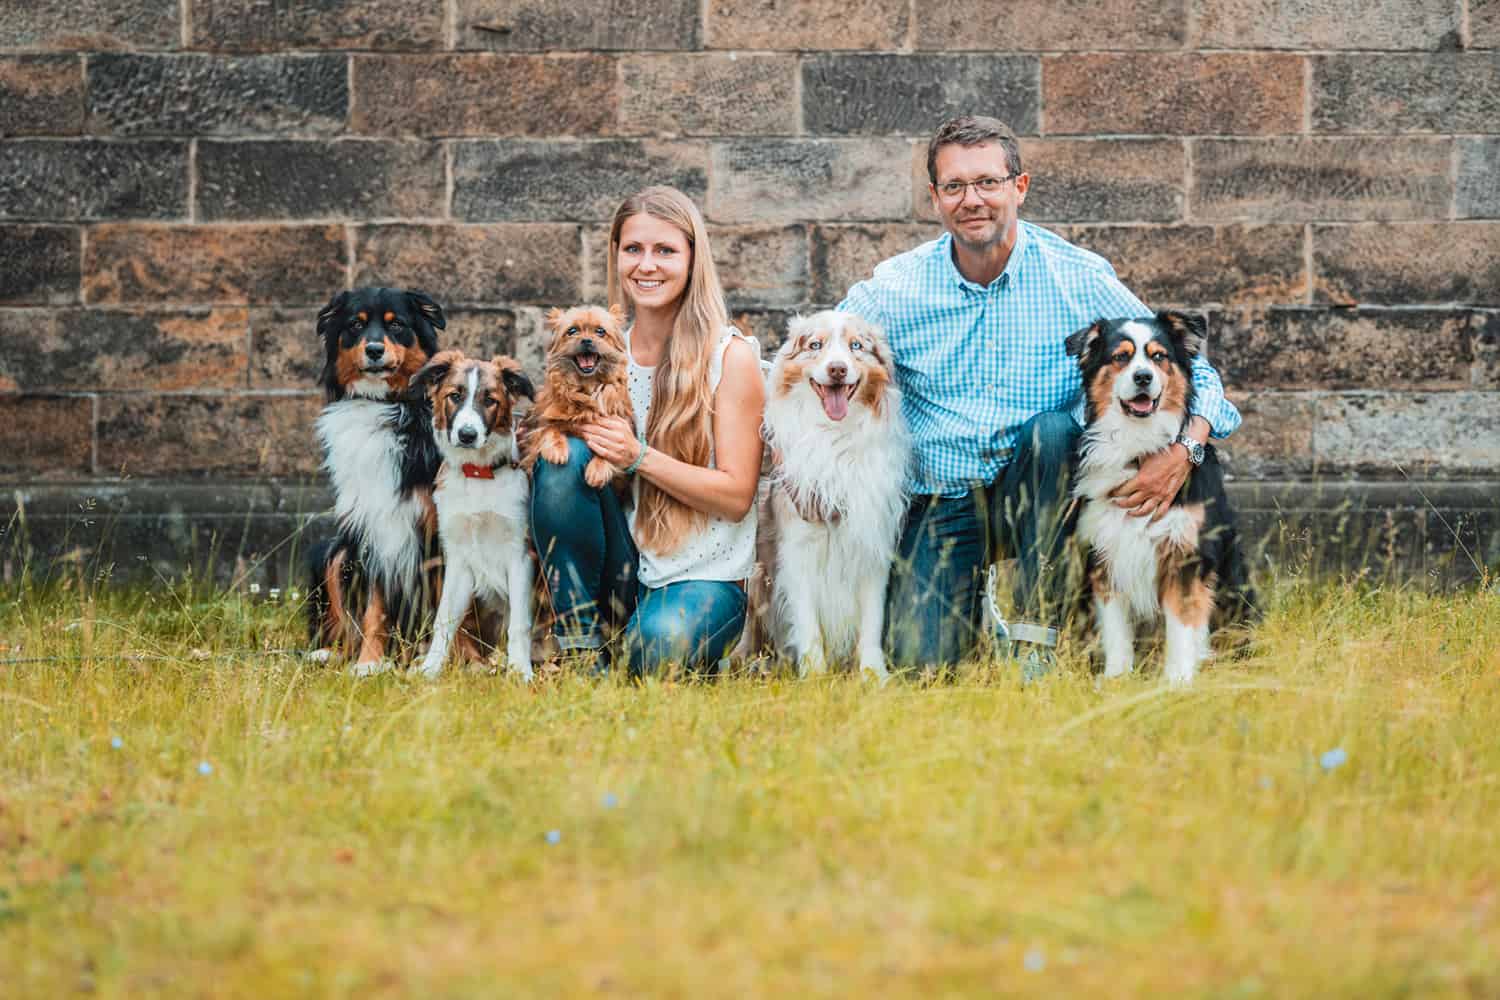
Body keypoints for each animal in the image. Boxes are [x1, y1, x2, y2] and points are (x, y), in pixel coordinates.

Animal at [525, 307, 636, 491]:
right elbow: (549, 428)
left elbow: (609, 451)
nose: (586, 340)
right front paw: (557, 449)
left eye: (600, 331)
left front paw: (598, 468)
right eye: (572, 331)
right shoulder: (539, 423)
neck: (586, 388)